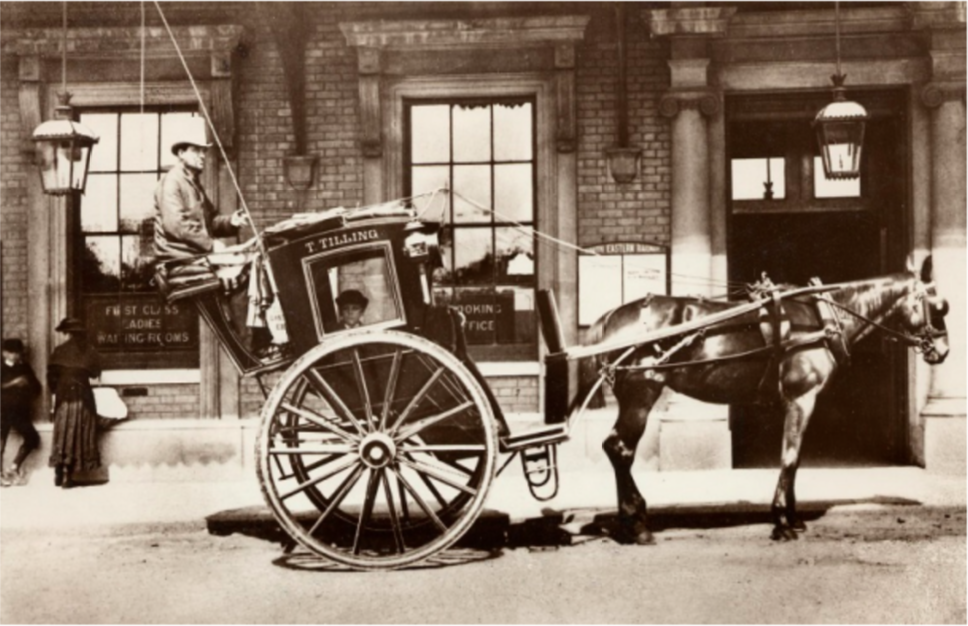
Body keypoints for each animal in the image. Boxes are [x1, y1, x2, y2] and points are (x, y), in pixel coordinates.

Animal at [580, 256, 948, 544]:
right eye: (938, 305)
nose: (943, 351)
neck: (821, 318)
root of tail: (611, 317)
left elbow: (794, 458)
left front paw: (793, 517)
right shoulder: (801, 398)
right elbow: (789, 457)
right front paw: (782, 521)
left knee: (615, 448)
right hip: (641, 394)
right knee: (620, 449)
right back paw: (636, 524)